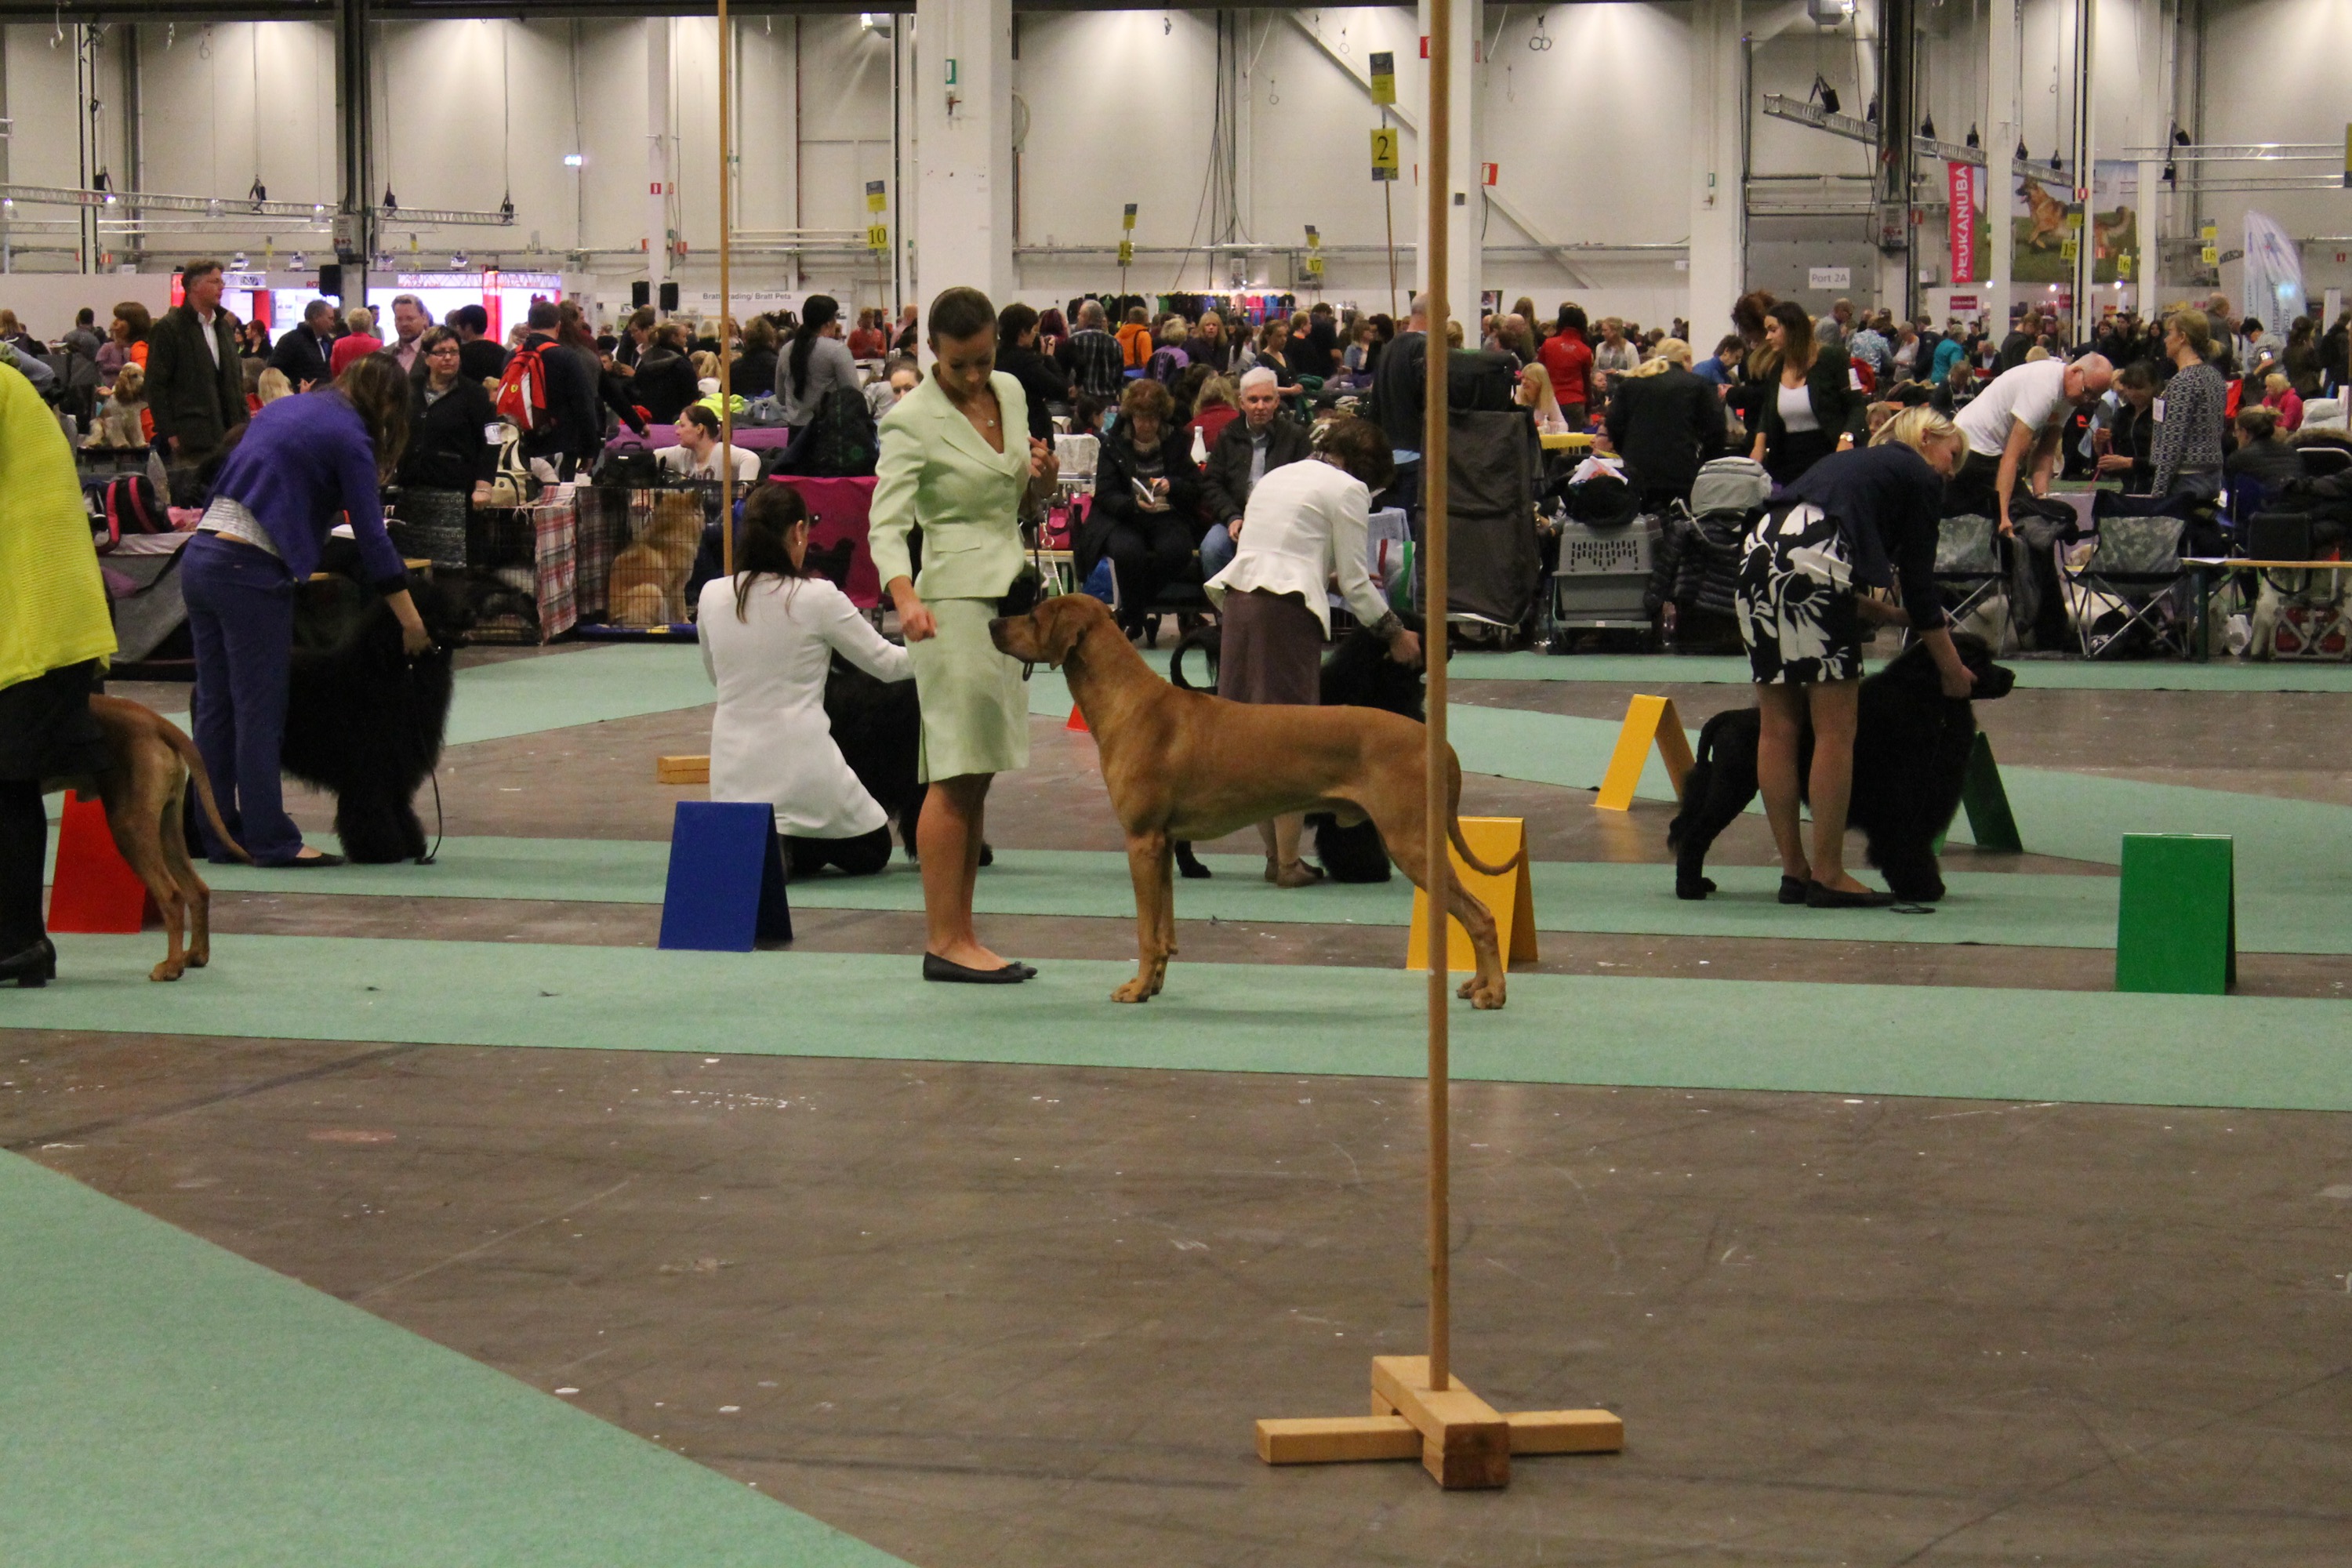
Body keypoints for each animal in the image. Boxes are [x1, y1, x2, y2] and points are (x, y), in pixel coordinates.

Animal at [61, 696, 248, 982]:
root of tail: (155, 721)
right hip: (167, 823)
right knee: (197, 889)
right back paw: (195, 955)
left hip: (130, 824)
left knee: (171, 895)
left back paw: (171, 967)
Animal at [992, 593, 1519, 1008]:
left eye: (1033, 615)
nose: (993, 622)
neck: (1129, 700)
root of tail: (1437, 743)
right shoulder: (1162, 844)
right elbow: (1164, 931)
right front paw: (1155, 984)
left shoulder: (1140, 841)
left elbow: (1144, 932)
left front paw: (1137, 989)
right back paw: (1479, 985)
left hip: (1411, 843)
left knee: (1482, 915)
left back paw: (1493, 992)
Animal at [1666, 633, 2016, 904]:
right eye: (1976, 661)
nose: (2011, 676)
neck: (1926, 699)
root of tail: (1728, 718)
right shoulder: (1903, 804)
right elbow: (1906, 847)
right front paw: (1922, 889)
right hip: (1731, 788)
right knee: (1695, 836)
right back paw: (1689, 888)